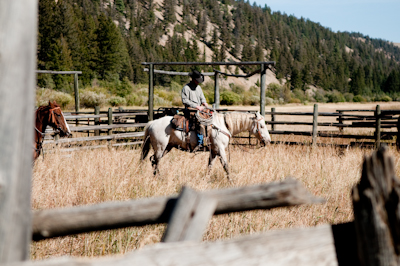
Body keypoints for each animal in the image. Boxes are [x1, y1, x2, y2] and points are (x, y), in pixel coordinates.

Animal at [141, 111, 272, 180]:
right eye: (261, 126)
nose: (268, 141)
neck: (223, 125)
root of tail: (152, 123)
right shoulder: (220, 150)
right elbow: (226, 166)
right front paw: (230, 181)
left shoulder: (213, 151)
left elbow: (210, 166)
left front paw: (206, 179)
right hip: (160, 147)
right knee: (156, 161)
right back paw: (158, 177)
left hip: (167, 147)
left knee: (153, 160)